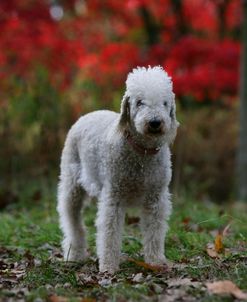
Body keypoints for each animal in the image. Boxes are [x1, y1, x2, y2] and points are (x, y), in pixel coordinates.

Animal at [57, 66, 178, 274]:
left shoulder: (156, 197)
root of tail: (87, 115)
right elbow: (109, 232)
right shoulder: (114, 195)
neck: (142, 152)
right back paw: (74, 254)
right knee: (72, 221)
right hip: (71, 183)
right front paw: (108, 267)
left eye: (164, 103)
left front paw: (156, 261)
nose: (155, 122)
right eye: (139, 102)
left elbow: (154, 231)